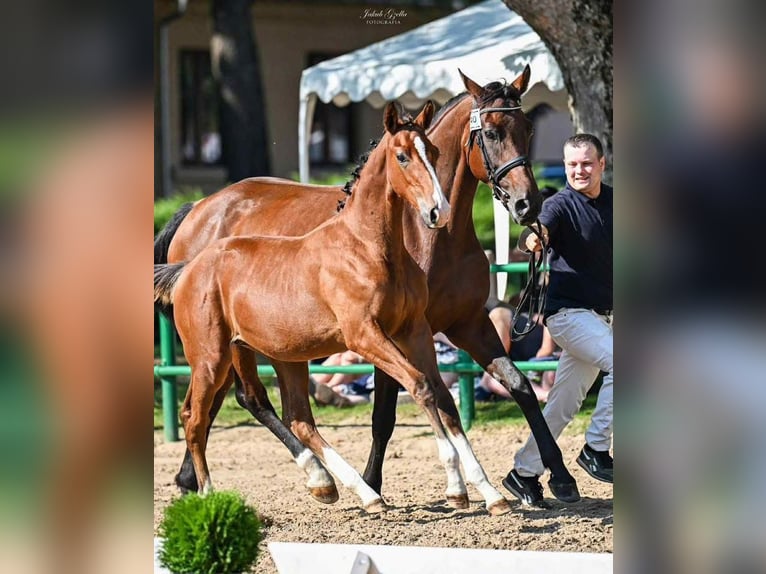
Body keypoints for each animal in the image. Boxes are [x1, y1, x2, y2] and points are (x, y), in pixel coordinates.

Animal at [156, 66, 578, 503]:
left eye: (528, 127)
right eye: (492, 132)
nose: (527, 204)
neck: (433, 237)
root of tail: (198, 209)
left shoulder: (467, 323)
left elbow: (517, 386)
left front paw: (556, 478)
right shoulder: (388, 335)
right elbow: (387, 413)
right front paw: (375, 481)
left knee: (224, 403)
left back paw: (193, 480)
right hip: (236, 347)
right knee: (248, 399)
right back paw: (307, 475)